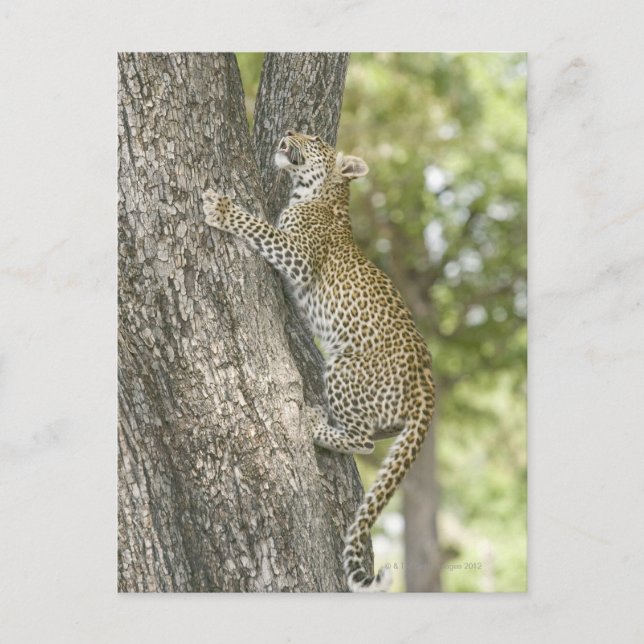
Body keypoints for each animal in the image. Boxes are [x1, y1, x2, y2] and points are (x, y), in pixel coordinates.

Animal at [202, 130, 435, 592]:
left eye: (312, 138)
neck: (321, 195)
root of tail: (426, 386)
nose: (289, 131)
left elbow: (258, 226)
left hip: (345, 366)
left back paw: (313, 426)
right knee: (377, 433)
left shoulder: (296, 253)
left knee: (363, 440)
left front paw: (221, 209)